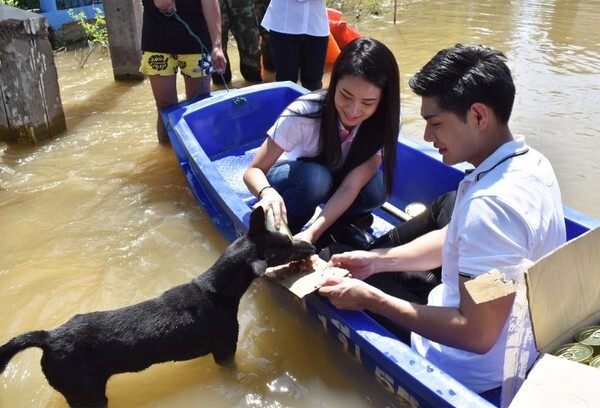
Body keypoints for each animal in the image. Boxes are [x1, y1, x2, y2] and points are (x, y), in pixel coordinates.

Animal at [0, 209, 316, 406]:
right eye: (284, 251)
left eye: (287, 238)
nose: (311, 248)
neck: (218, 291)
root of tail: (48, 338)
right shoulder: (225, 351)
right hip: (87, 394)